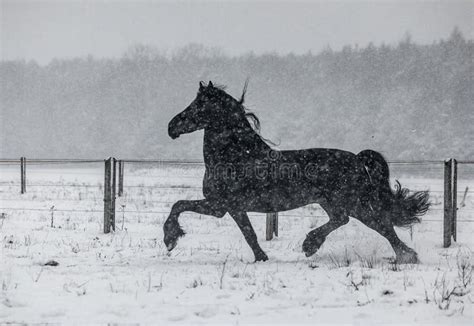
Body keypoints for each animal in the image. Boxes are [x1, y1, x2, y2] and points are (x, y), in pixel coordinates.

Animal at [166, 81, 430, 262]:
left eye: (199, 105)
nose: (171, 126)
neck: (237, 156)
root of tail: (357, 158)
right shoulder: (231, 208)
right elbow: (249, 234)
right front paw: (262, 257)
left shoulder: (220, 205)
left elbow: (179, 205)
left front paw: (169, 238)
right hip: (332, 202)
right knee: (342, 219)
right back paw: (312, 244)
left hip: (357, 203)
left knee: (382, 225)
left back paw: (405, 257)